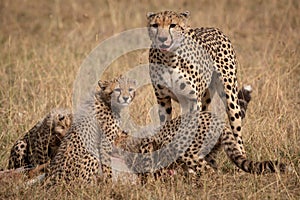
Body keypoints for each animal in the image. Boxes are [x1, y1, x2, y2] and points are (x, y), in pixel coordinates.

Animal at [148, 10, 248, 157]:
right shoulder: (163, 99)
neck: (169, 59)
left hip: (230, 97)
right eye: (155, 25)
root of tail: (214, 29)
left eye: (173, 25)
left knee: (237, 131)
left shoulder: (193, 101)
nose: (162, 38)